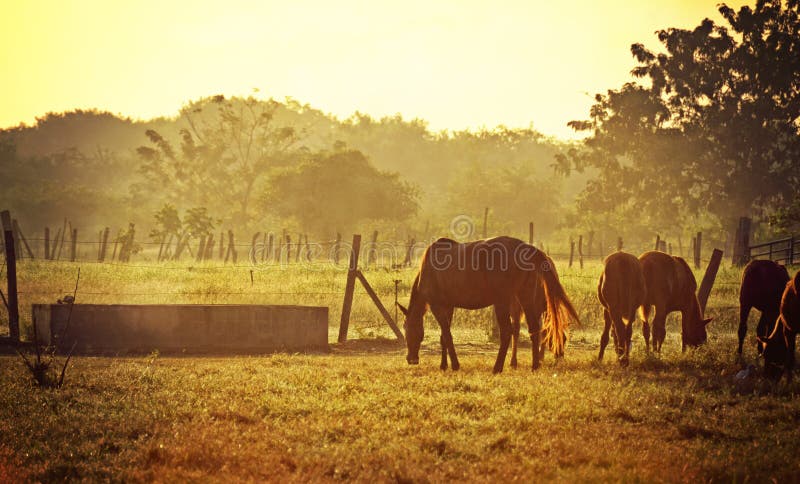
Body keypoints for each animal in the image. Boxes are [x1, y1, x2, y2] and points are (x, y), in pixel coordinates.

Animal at [396, 236, 580, 372]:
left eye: (406, 329)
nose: (411, 359)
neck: (428, 270)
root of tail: (528, 248)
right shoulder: (448, 306)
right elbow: (443, 337)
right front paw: (444, 365)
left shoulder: (437, 306)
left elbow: (447, 335)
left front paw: (454, 365)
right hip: (525, 297)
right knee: (534, 329)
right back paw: (534, 366)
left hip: (502, 301)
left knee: (507, 332)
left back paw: (497, 367)